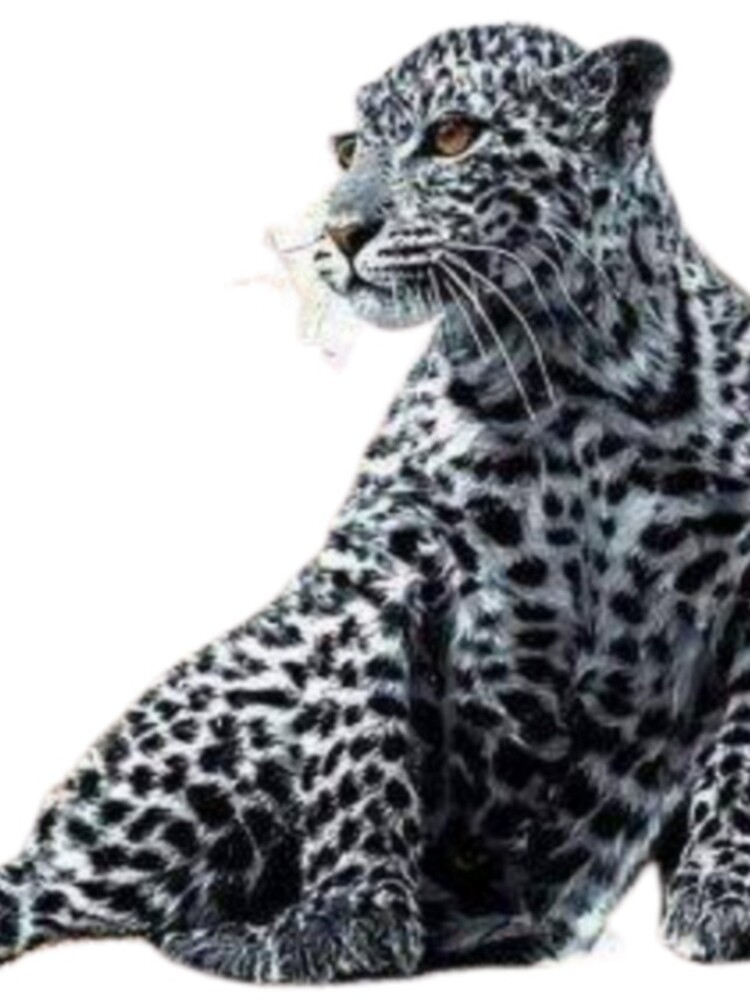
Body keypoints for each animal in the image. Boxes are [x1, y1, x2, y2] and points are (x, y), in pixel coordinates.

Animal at [3, 20, 750, 983]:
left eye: (453, 137)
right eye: (350, 149)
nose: (341, 232)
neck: (569, 372)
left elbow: (740, 765)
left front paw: (724, 900)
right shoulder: (375, 566)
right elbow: (358, 741)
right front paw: (350, 916)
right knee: (70, 896)